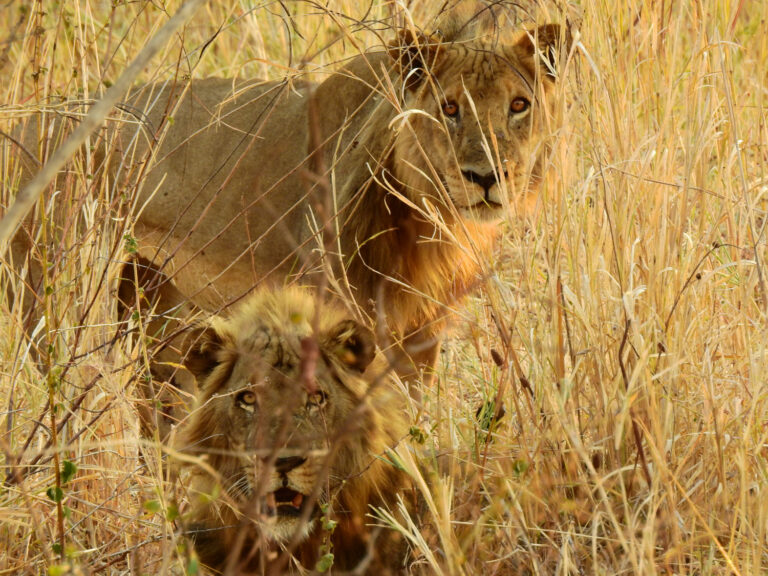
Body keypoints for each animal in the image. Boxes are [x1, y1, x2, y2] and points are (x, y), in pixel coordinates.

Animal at [9, 3, 571, 381]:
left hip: (159, 308)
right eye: (449, 108)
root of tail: (29, 122)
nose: (487, 175)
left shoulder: (420, 334)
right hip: (60, 309)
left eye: (519, 105)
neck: (433, 222)